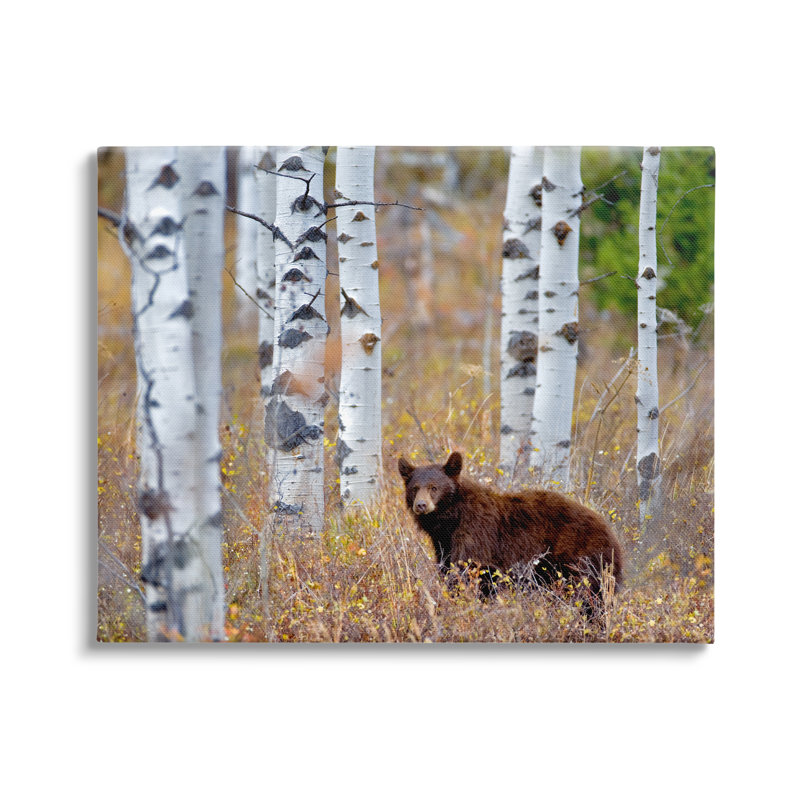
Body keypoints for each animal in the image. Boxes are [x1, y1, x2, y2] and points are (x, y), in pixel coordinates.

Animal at [398, 451, 623, 613]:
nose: (421, 505)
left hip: (580, 560)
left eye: (434, 487)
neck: (452, 519)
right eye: (414, 488)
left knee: (585, 595)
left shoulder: (476, 535)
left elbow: (467, 571)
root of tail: (611, 534)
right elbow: (450, 570)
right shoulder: (444, 544)